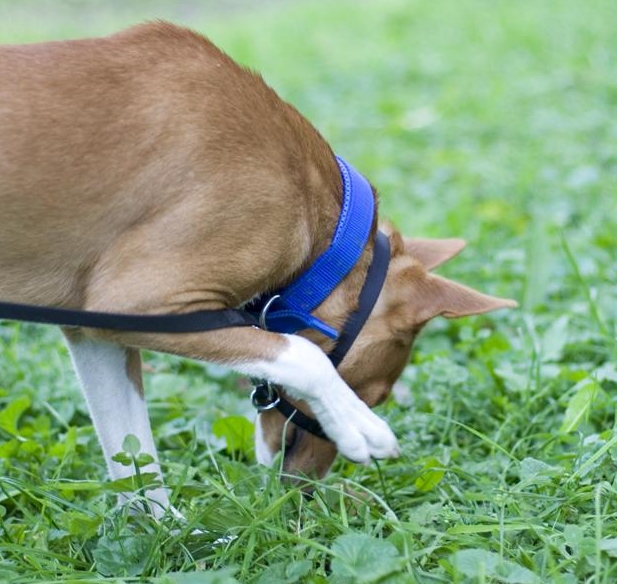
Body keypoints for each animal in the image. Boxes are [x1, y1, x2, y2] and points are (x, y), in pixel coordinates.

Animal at [0, 22, 516, 516]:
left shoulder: (94, 328)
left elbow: (135, 461)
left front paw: (164, 534)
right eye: (372, 396)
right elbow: (304, 355)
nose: (303, 491)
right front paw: (359, 426)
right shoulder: (135, 302)